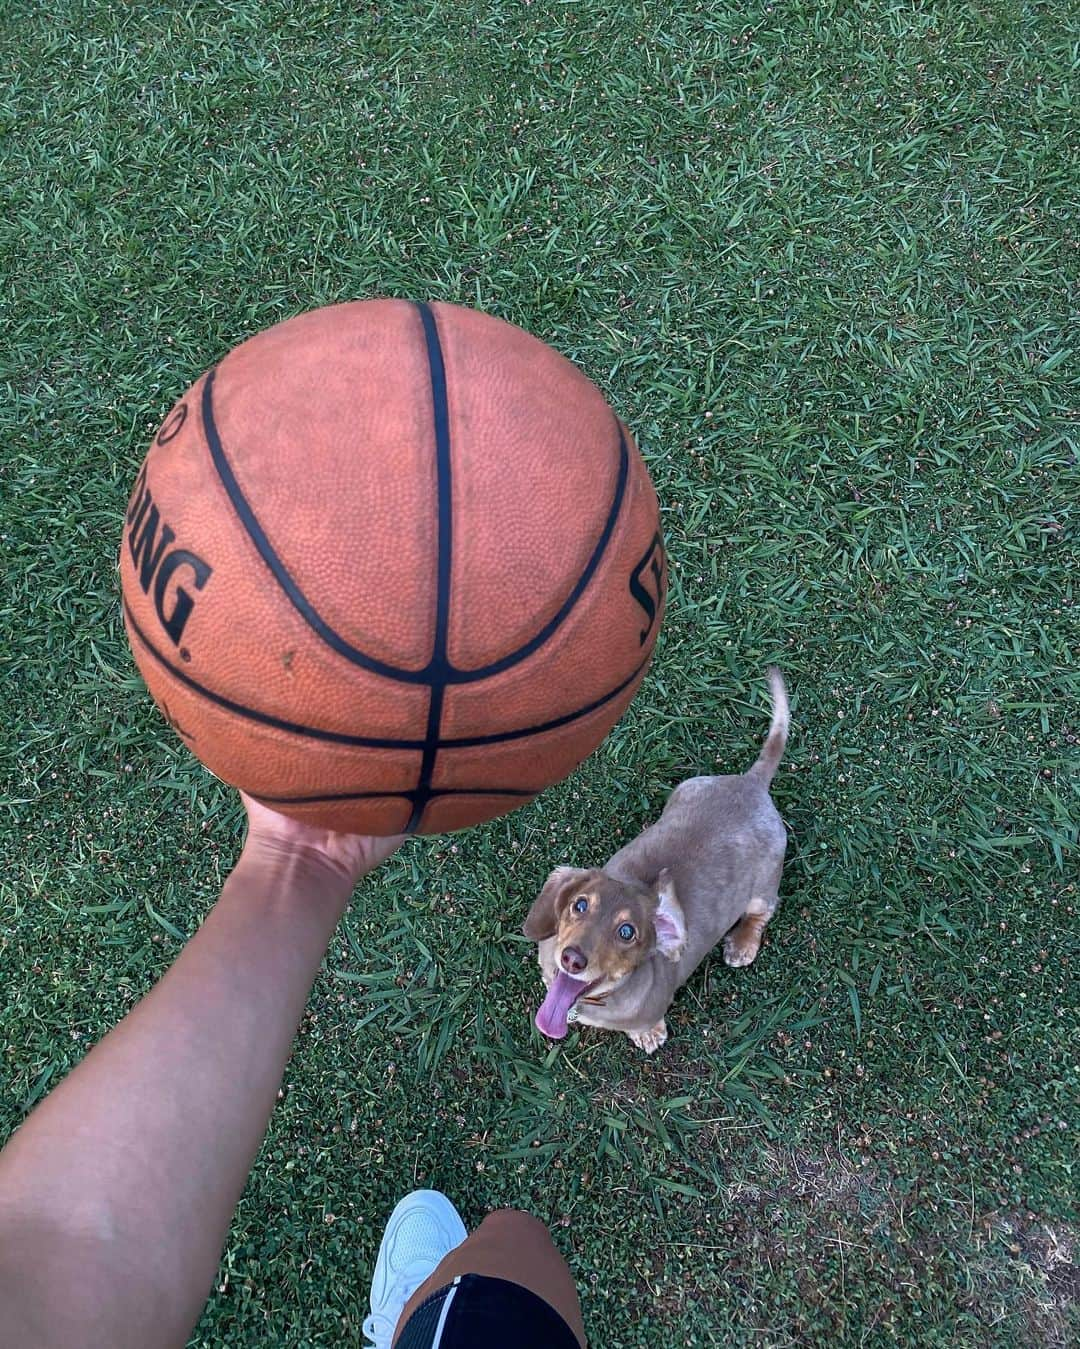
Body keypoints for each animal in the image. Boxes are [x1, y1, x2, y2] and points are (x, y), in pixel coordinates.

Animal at [523, 671, 782, 1052]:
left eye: (627, 932)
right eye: (579, 905)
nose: (571, 958)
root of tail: (753, 783)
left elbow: (645, 1024)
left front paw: (649, 1034)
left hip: (764, 886)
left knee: (763, 911)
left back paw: (742, 945)